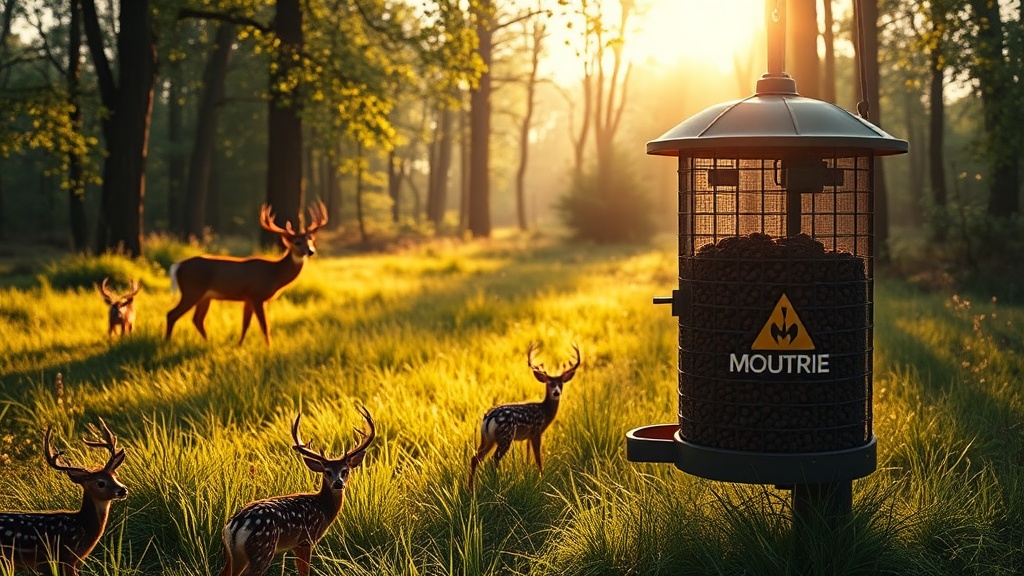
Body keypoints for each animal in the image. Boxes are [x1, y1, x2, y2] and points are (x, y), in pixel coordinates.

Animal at [165, 201, 327, 345]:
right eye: (297, 242)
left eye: (310, 240)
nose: (311, 251)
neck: (274, 274)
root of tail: (177, 265)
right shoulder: (257, 295)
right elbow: (265, 326)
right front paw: (269, 348)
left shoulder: (247, 298)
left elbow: (245, 324)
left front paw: (239, 345)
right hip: (192, 290)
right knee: (172, 314)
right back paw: (167, 343)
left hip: (205, 296)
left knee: (197, 320)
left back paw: (207, 342)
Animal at [218, 406, 375, 576]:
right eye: (327, 472)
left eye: (345, 471)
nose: (338, 484)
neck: (324, 508)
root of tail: (234, 526)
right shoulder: (305, 540)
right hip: (263, 548)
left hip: (232, 555)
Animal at [469, 342, 581, 489]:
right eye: (549, 384)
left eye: (560, 384)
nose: (556, 392)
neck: (545, 412)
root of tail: (489, 418)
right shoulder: (536, 431)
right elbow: (538, 458)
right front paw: (541, 478)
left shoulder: (528, 436)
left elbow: (528, 456)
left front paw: (528, 473)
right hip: (506, 436)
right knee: (494, 458)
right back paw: (495, 483)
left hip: (487, 438)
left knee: (476, 458)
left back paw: (470, 489)